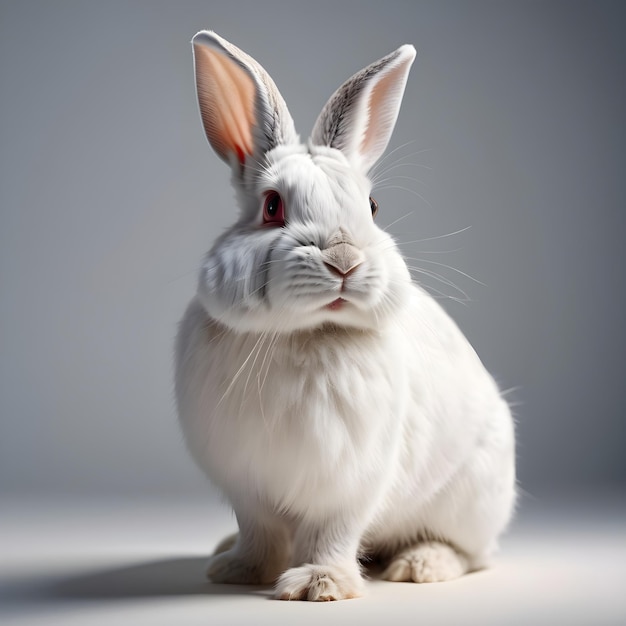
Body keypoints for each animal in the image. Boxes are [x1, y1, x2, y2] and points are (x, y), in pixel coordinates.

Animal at [173, 30, 516, 600]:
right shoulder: (249, 486)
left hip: (472, 499)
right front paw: (240, 571)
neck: (304, 333)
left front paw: (319, 585)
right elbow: (258, 531)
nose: (344, 261)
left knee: (474, 554)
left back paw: (420, 565)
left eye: (372, 208)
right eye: (272, 207)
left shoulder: (349, 482)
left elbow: (331, 532)